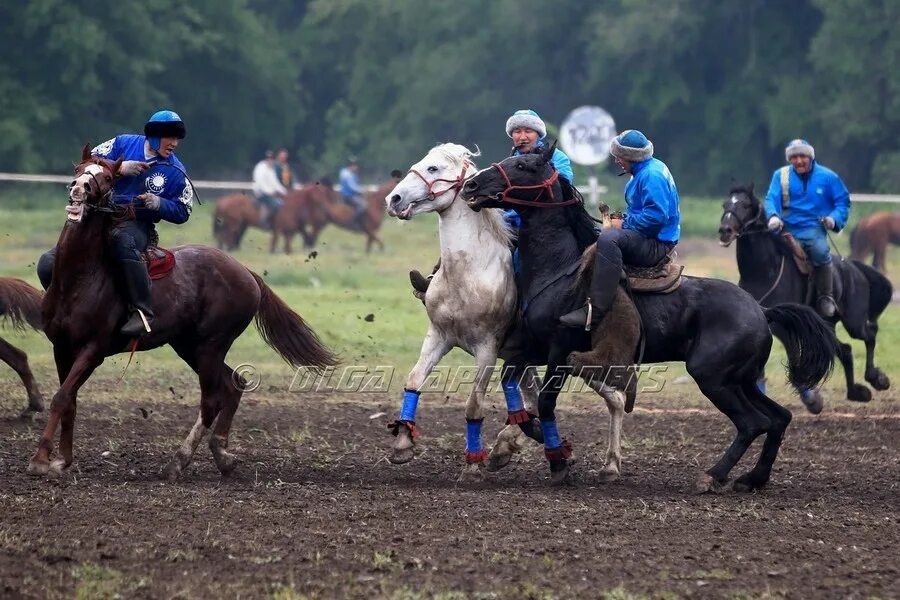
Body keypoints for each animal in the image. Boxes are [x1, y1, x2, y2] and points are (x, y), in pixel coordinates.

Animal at [29, 148, 338, 480]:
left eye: (108, 178)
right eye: (80, 168)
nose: (78, 188)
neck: (82, 277)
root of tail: (246, 272)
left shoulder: (92, 350)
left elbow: (61, 397)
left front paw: (41, 459)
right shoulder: (62, 348)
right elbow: (69, 400)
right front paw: (63, 459)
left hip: (211, 346)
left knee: (212, 399)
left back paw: (178, 461)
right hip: (189, 346)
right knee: (234, 384)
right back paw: (221, 453)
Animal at [384, 143, 624, 480]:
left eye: (433, 168)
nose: (394, 199)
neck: (469, 272)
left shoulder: (487, 348)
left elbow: (475, 405)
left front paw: (474, 465)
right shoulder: (439, 337)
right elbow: (414, 380)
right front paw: (403, 443)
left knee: (613, 399)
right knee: (591, 399)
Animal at [460, 144, 840, 492]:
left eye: (522, 165)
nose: (471, 185)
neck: (561, 269)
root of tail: (762, 310)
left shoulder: (560, 352)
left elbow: (546, 401)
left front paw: (558, 462)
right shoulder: (535, 349)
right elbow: (513, 386)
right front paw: (527, 442)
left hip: (713, 377)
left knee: (752, 424)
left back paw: (713, 475)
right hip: (740, 380)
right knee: (777, 419)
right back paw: (753, 478)